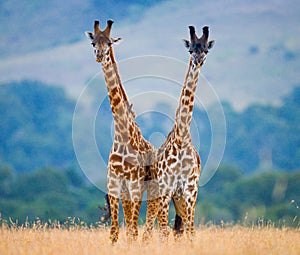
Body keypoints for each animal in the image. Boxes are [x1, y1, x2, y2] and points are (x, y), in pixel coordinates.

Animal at [84, 19, 155, 243]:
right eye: (93, 43)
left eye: (109, 43)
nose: (99, 54)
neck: (123, 134)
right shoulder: (114, 185)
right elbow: (114, 232)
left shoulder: (134, 185)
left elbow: (132, 229)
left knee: (145, 226)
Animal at [142, 24, 214, 241]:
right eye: (190, 49)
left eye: (206, 49)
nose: (198, 60)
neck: (181, 138)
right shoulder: (166, 189)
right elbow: (164, 231)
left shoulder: (190, 190)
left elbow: (190, 231)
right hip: (158, 196)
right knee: (150, 229)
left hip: (179, 199)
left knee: (178, 229)